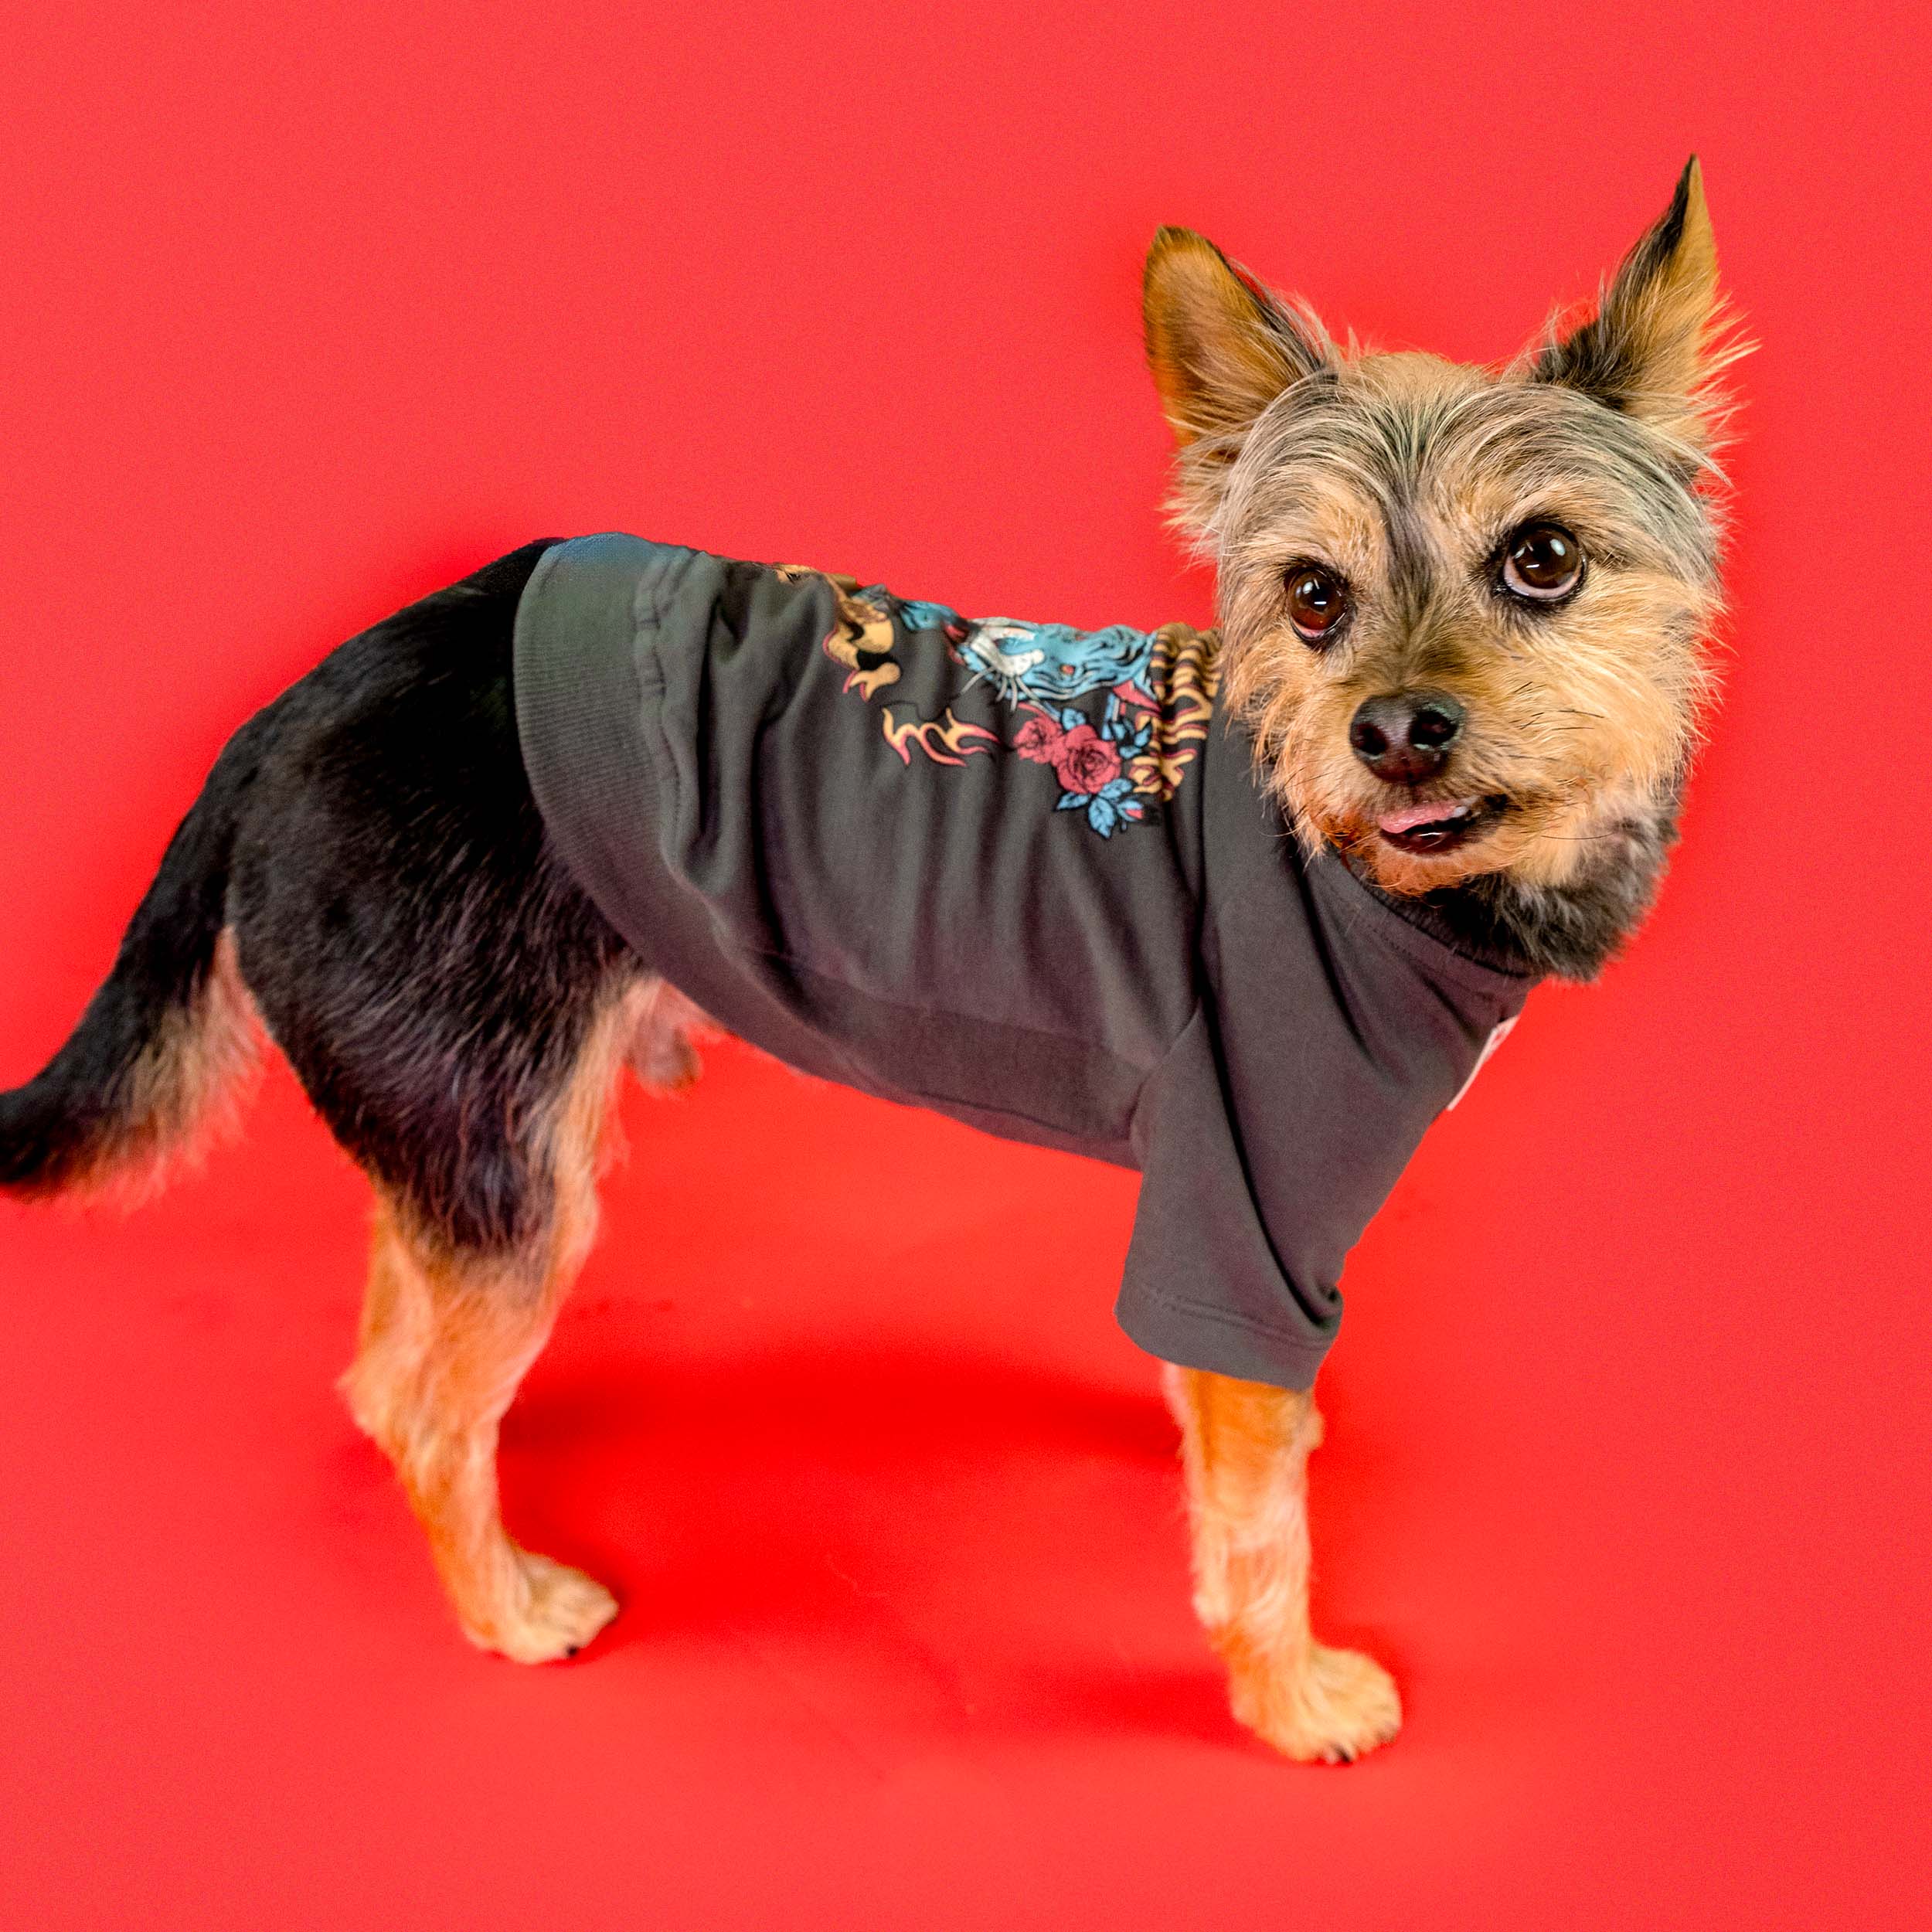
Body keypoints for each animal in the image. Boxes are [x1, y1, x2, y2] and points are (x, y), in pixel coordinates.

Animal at [0, 162, 1747, 1770]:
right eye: (1312, 598)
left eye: (1541, 560)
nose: (1391, 731)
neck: (1373, 867)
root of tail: (287, 710)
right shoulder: (1244, 1212)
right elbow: (1258, 1524)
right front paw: (1290, 1696)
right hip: (516, 1159)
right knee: (432, 1412)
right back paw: (507, 1606)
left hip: (466, 1130)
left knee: (385, 1364)